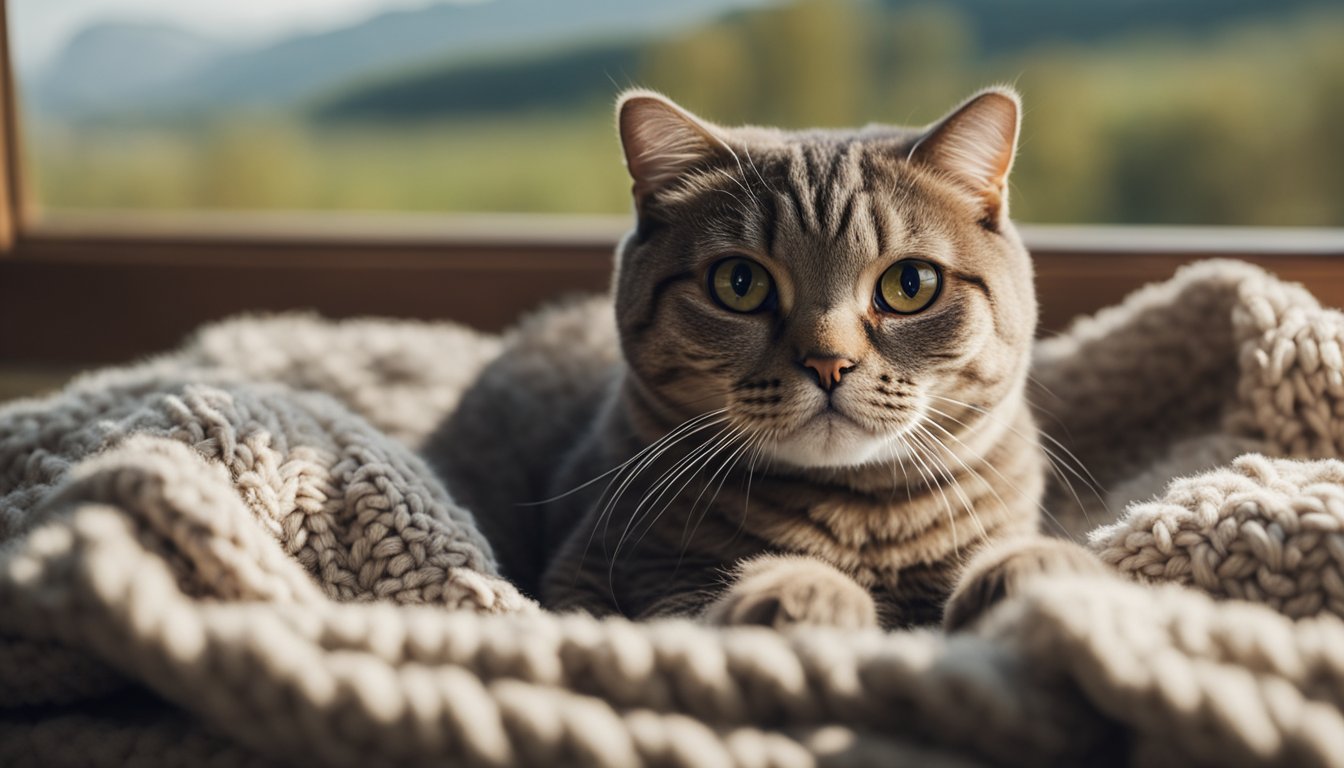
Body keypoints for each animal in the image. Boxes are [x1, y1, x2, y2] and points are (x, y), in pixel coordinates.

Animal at [424, 88, 1107, 632]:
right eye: (740, 283)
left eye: (910, 284)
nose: (828, 362)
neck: (859, 520)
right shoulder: (604, 572)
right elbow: (700, 598)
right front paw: (801, 591)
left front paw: (1040, 572)